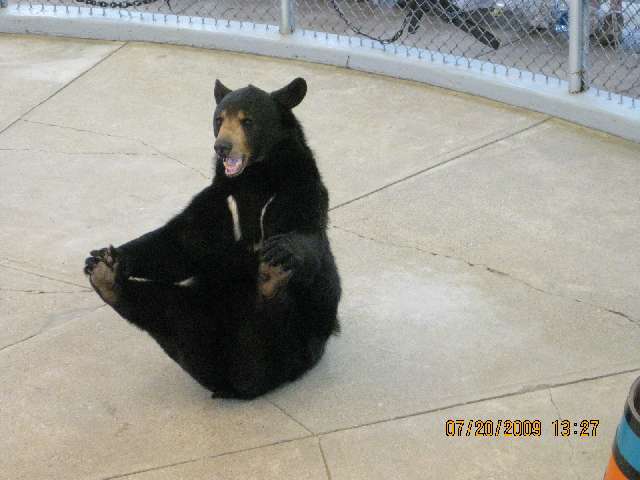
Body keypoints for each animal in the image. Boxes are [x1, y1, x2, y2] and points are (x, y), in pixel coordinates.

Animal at [84, 77, 341, 400]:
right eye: (219, 119)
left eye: (247, 121)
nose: (222, 146)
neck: (254, 180)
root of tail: (239, 382)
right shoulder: (220, 203)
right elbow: (179, 244)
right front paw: (105, 257)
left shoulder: (295, 189)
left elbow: (306, 233)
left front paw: (281, 252)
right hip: (195, 316)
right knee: (161, 308)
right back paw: (106, 279)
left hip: (300, 335)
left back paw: (271, 278)